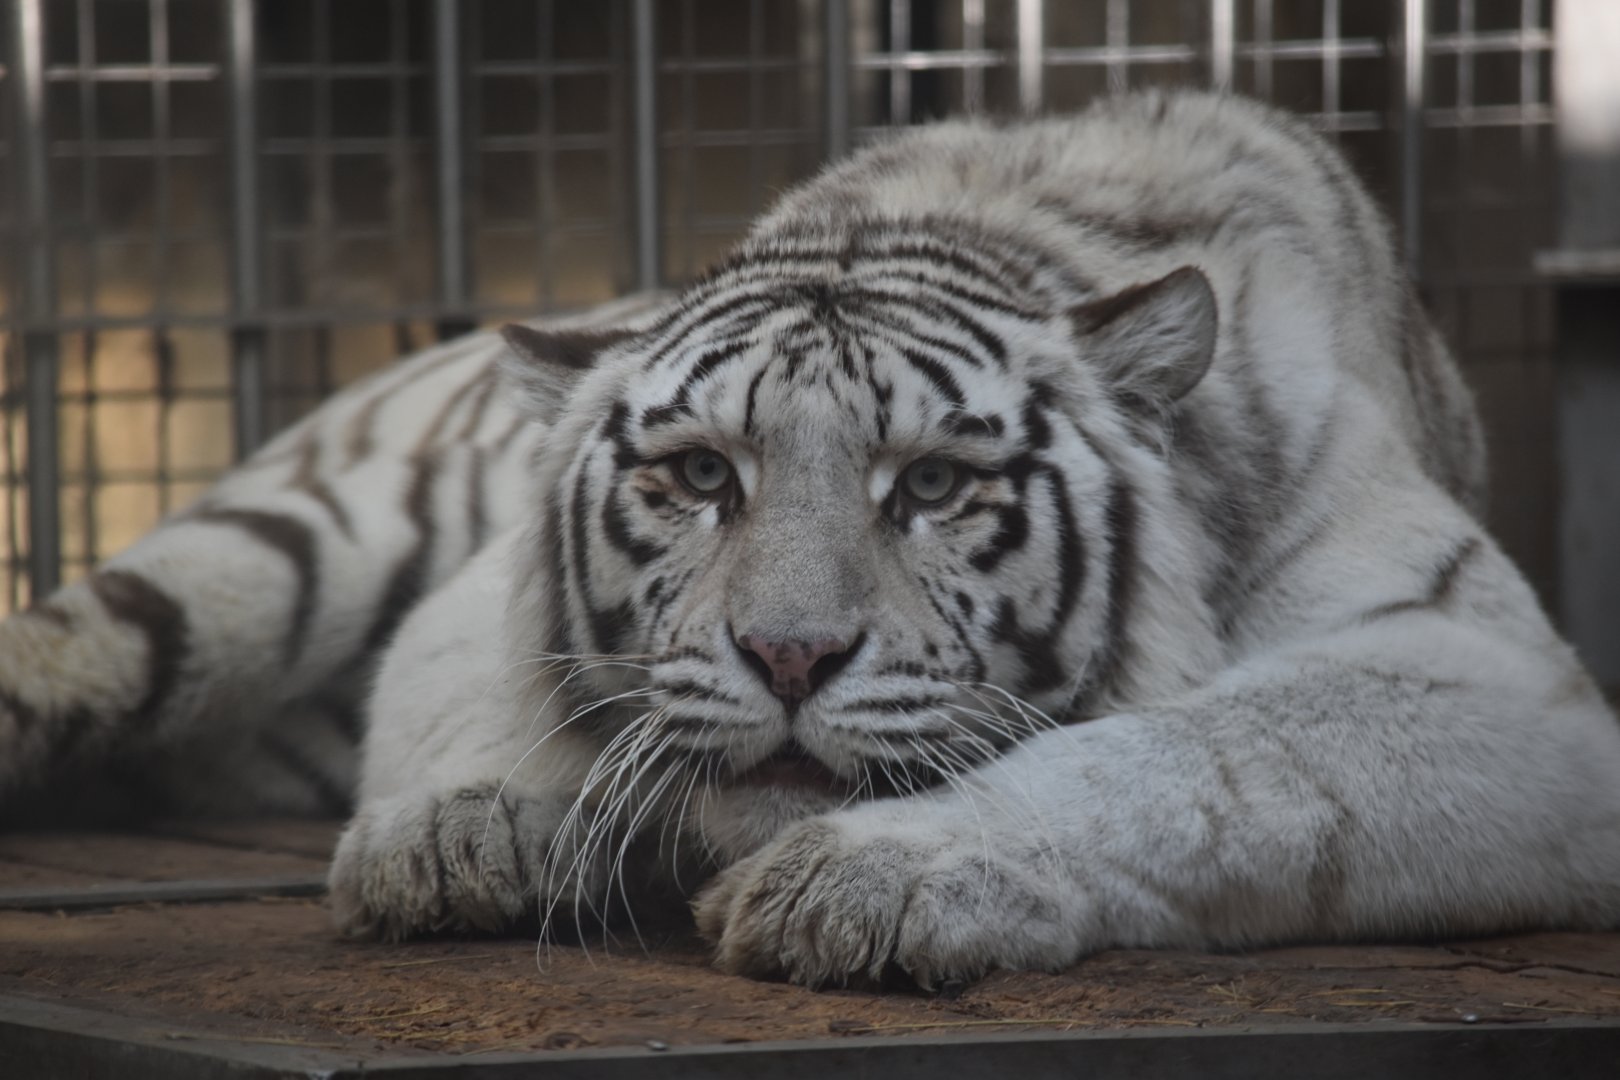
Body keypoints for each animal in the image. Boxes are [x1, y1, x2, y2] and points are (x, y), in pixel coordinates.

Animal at [2, 90, 1617, 990]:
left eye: (937, 484)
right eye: (699, 474)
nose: (788, 656)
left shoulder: (1493, 679)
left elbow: (1190, 759)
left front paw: (877, 880)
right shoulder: (458, 603)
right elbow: (483, 709)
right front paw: (464, 832)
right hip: (281, 546)